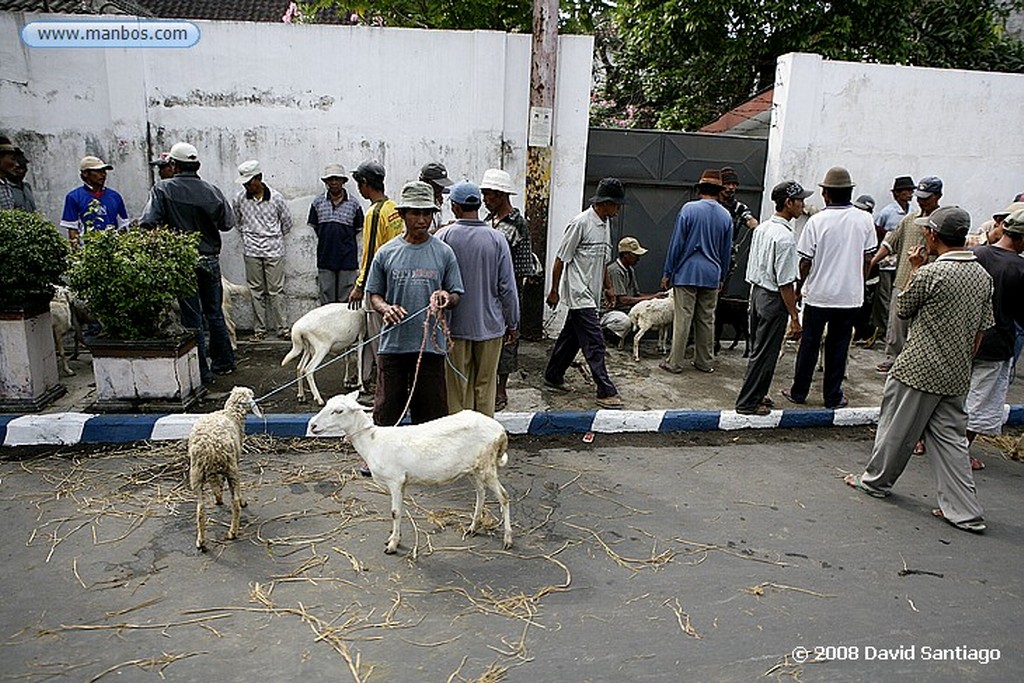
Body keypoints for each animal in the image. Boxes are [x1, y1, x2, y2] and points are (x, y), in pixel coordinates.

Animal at [188, 387, 262, 552]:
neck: (232, 413)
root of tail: (210, 448)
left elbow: (218, 485)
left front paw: (218, 498)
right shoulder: (235, 461)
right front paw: (240, 501)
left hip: (196, 474)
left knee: (200, 509)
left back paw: (201, 541)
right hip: (231, 468)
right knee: (235, 502)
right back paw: (232, 531)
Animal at [305, 389, 509, 557]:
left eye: (338, 411)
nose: (312, 426)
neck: (372, 442)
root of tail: (500, 431)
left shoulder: (395, 480)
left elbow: (395, 512)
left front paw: (392, 546)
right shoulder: (401, 482)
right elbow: (400, 511)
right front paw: (394, 539)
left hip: (487, 466)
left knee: (504, 497)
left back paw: (507, 539)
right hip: (473, 468)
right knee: (481, 492)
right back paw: (473, 527)